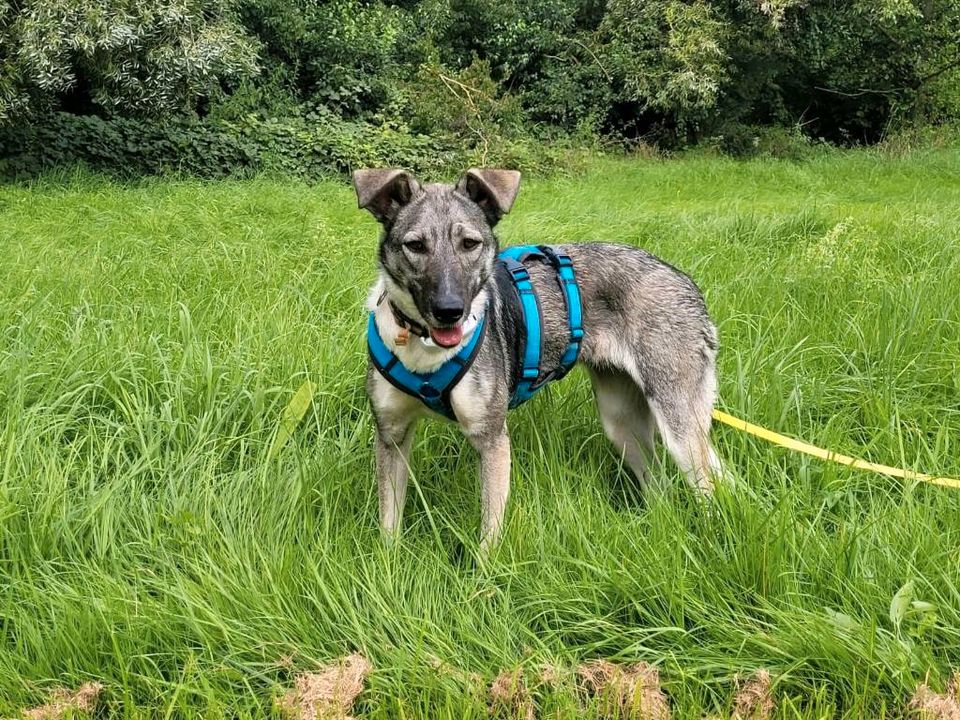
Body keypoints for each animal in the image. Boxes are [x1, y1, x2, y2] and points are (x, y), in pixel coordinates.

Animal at [356, 169, 724, 552]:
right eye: (415, 246)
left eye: (470, 244)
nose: (450, 311)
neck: (423, 349)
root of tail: (685, 282)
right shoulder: (392, 437)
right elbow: (388, 527)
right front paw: (388, 564)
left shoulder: (491, 440)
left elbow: (489, 539)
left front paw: (484, 569)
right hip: (621, 423)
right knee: (658, 485)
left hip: (678, 423)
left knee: (711, 483)